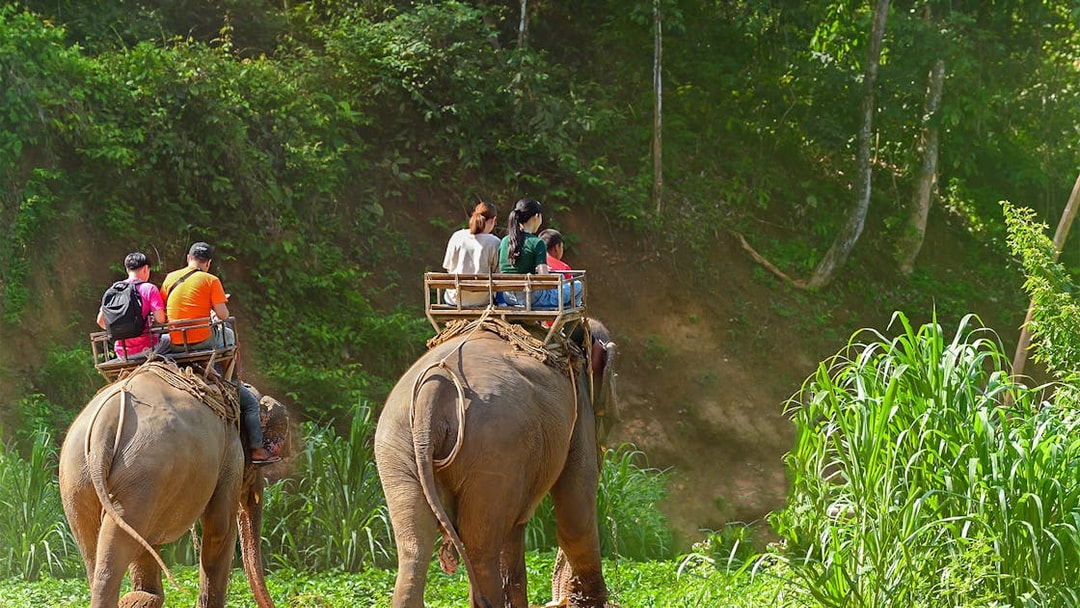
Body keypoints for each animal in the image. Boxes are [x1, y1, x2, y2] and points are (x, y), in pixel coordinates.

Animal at [58, 359, 283, 608]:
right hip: (142, 472)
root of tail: (103, 427)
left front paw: (144, 597)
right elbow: (220, 529)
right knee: (117, 547)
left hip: (78, 477)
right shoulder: (231, 454)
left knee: (96, 546)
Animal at [375, 318, 618, 608]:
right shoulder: (579, 403)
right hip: (494, 449)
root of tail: (433, 390)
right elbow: (576, 514)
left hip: (397, 447)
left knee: (414, 546)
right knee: (481, 552)